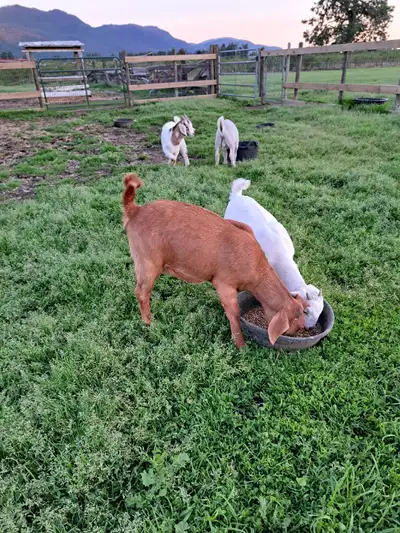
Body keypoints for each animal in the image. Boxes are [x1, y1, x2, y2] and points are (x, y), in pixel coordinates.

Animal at [122, 175, 310, 348]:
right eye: (293, 328)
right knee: (141, 292)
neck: (255, 267)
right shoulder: (224, 282)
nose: (304, 330)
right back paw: (149, 323)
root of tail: (135, 210)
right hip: (147, 259)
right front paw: (241, 345)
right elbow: (234, 312)